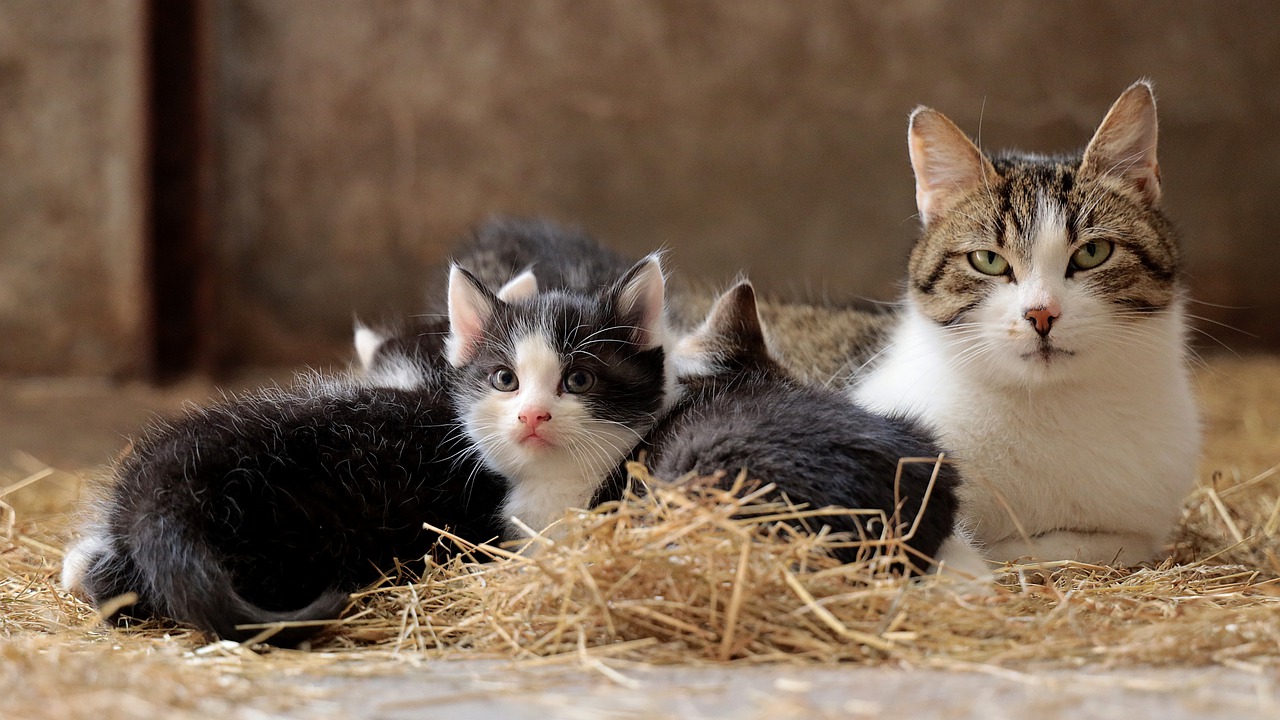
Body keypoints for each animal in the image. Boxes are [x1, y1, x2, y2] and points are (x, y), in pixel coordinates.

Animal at [839, 81, 1198, 563]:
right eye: (987, 260)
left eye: (1093, 252)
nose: (1041, 313)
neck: (1045, 405)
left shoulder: (1137, 524)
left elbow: (1092, 544)